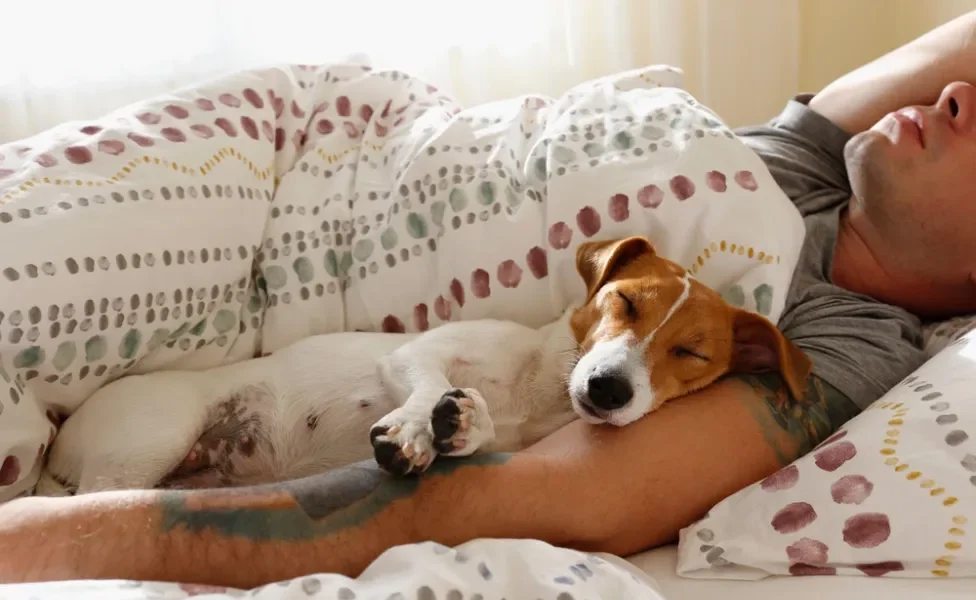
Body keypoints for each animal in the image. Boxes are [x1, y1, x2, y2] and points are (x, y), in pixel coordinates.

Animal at [34, 237, 812, 494]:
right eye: (622, 301)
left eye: (691, 353)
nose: (608, 387)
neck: (536, 386)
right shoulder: (416, 353)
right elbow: (430, 379)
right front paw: (416, 428)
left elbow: (477, 423)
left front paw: (460, 426)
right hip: (150, 440)